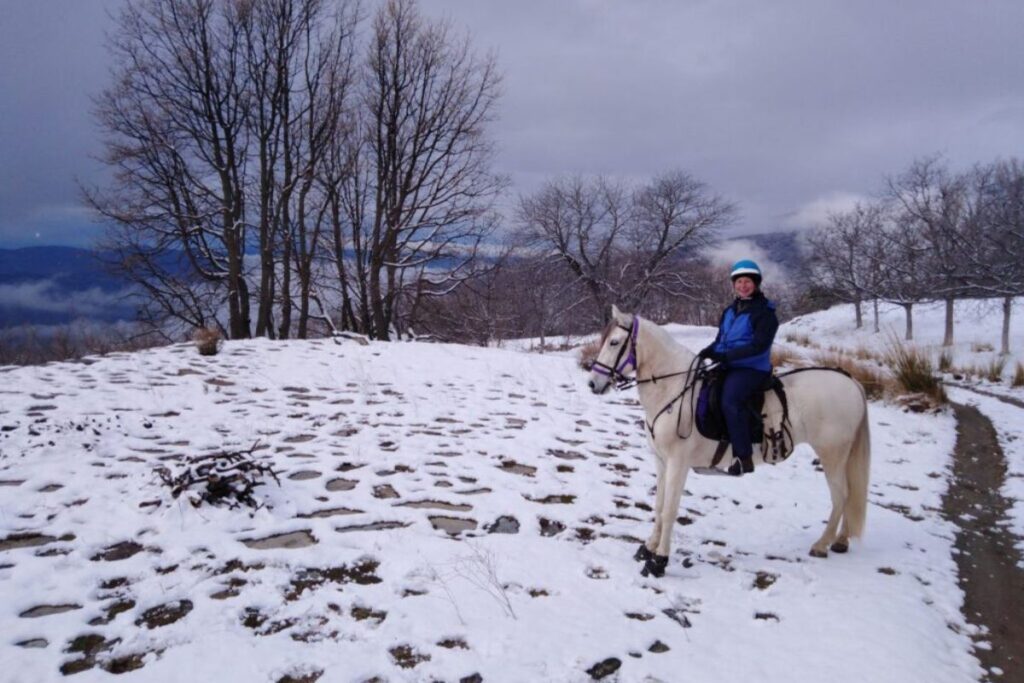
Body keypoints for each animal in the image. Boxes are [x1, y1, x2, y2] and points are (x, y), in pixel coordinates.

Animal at [589, 307, 868, 581]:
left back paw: (822, 544)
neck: (674, 391)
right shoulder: (661, 461)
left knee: (841, 495)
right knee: (849, 493)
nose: (593, 383)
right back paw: (840, 541)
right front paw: (648, 548)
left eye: (614, 342)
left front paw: (659, 561)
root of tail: (851, 382)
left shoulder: (678, 464)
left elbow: (669, 511)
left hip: (832, 453)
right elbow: (658, 506)